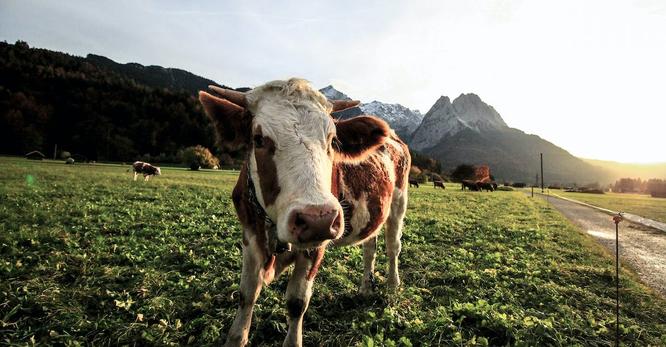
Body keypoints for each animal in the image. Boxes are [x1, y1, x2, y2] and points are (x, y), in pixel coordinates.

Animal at [197, 79, 408, 347]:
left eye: (333, 140)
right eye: (258, 139)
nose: (318, 219)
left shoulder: (315, 245)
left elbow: (297, 302)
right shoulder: (250, 234)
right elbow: (247, 293)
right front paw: (237, 337)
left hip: (399, 202)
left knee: (393, 247)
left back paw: (392, 285)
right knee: (370, 246)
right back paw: (366, 288)